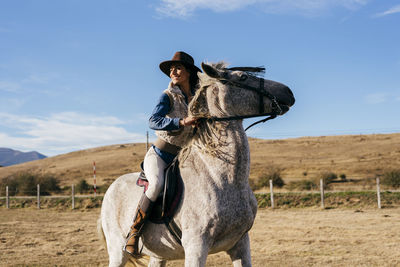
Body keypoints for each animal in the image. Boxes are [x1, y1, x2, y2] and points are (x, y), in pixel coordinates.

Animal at [100, 61, 294, 266]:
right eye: (243, 77)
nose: (288, 92)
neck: (221, 178)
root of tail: (112, 187)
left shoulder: (241, 243)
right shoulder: (196, 246)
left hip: (158, 255)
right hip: (118, 252)